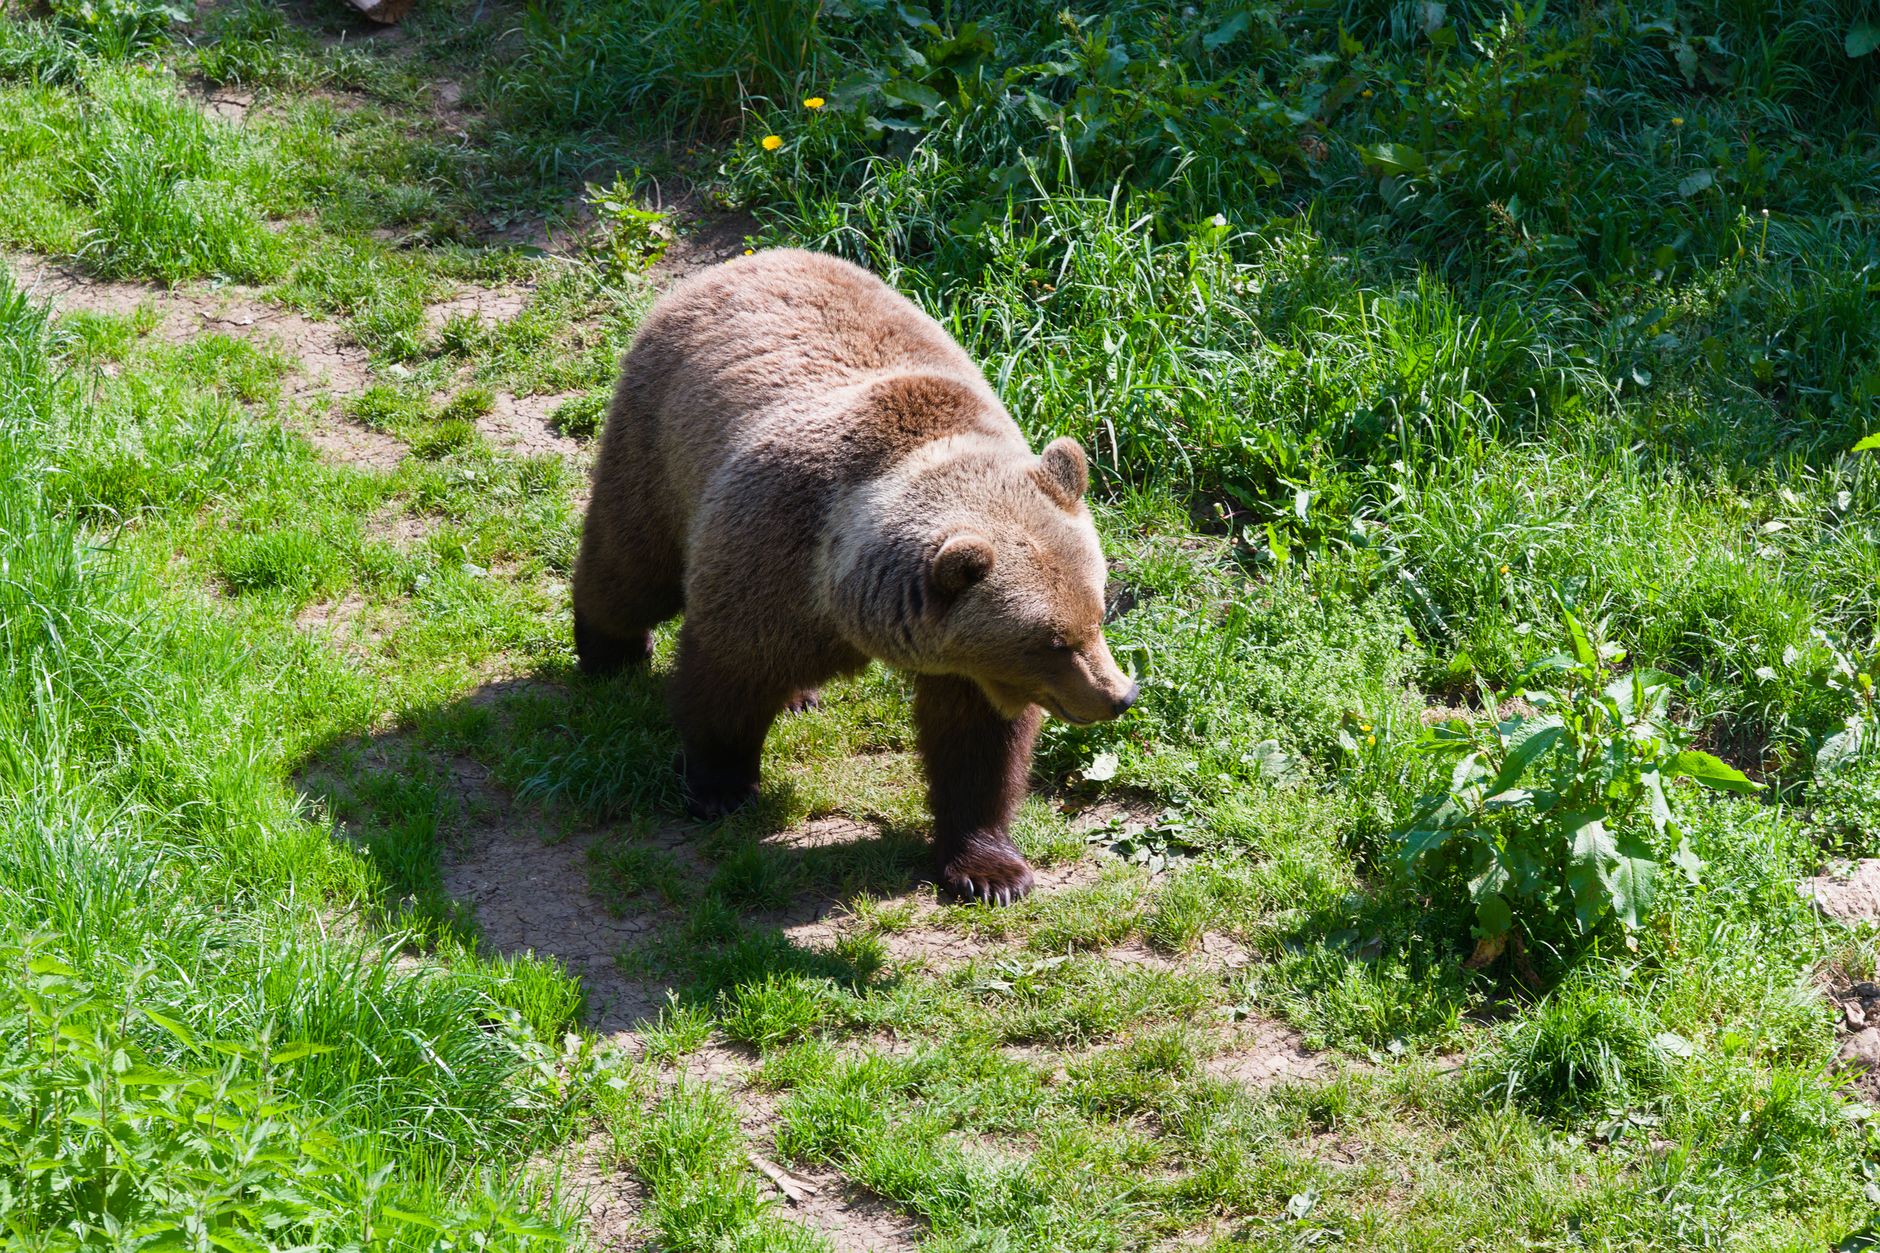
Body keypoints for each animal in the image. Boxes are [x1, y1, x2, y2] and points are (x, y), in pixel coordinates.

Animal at [571, 249, 1137, 905]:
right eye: (1052, 641)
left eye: (1098, 614)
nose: (1119, 695)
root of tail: (746, 259)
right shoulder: (773, 554)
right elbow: (728, 675)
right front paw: (721, 786)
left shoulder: (967, 662)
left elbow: (978, 748)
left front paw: (991, 870)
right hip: (659, 443)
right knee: (631, 565)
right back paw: (611, 653)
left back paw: (797, 694)